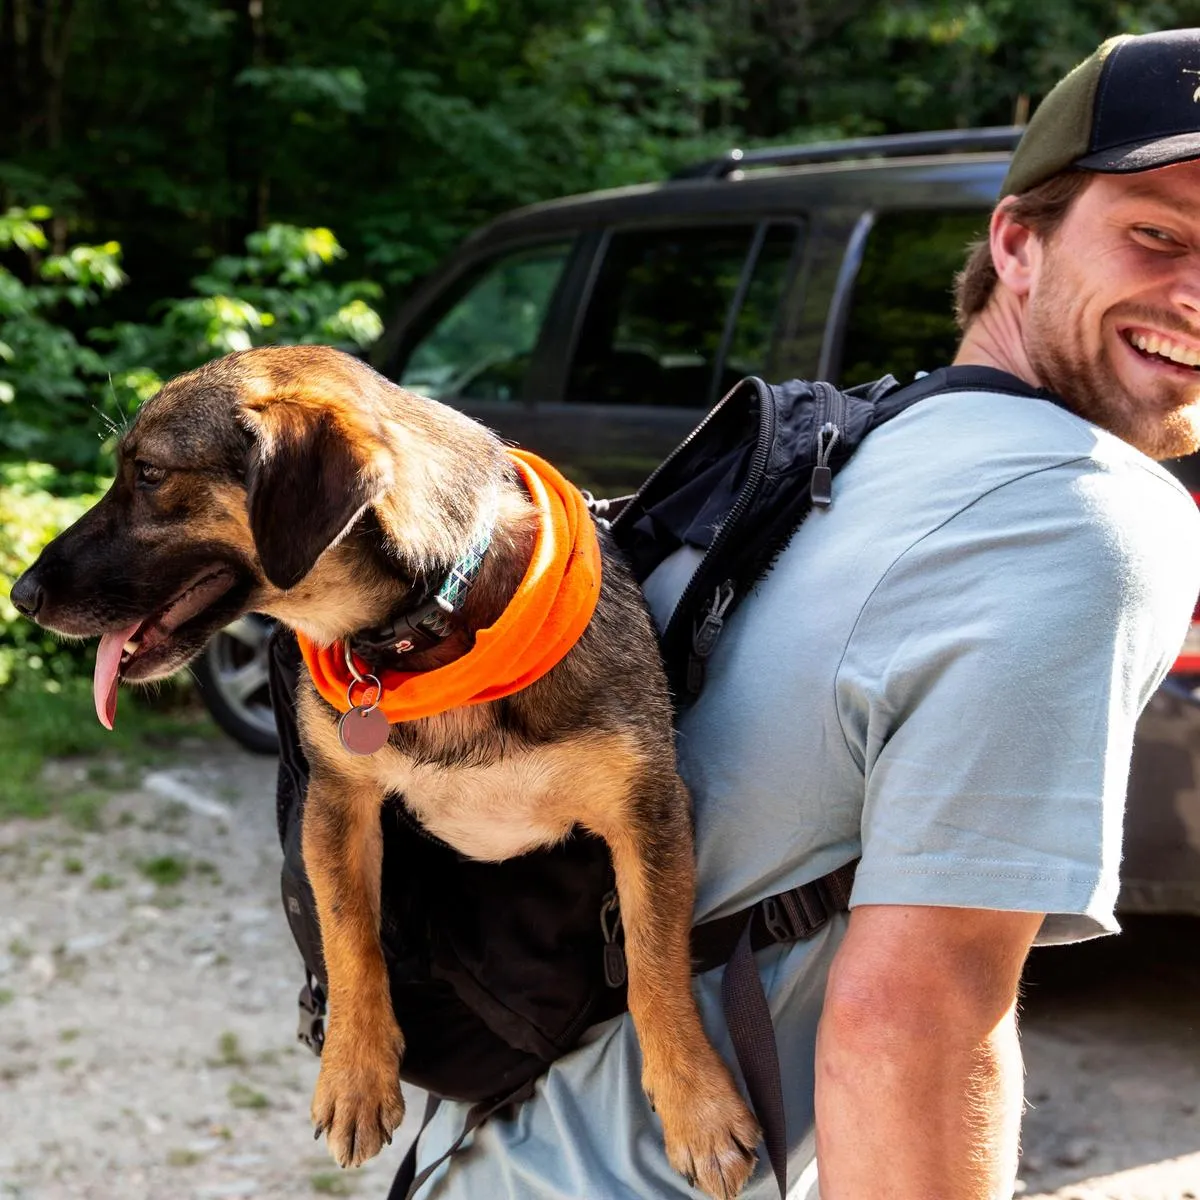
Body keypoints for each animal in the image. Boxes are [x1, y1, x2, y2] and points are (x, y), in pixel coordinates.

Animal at [9, 343, 758, 1195]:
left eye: (150, 475)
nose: (21, 594)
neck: (428, 631)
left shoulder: (647, 812)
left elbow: (654, 965)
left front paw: (697, 1106)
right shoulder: (338, 800)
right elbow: (350, 937)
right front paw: (355, 1075)